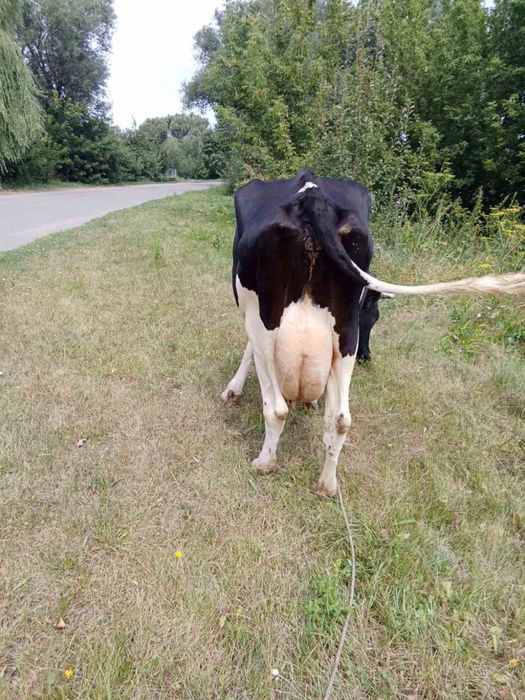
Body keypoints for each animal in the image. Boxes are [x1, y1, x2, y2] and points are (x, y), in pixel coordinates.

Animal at [221, 169, 525, 497]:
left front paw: (233, 390)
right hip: (346, 332)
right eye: (374, 317)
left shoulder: (250, 311)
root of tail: (312, 194)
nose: (367, 357)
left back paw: (264, 463)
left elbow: (248, 352)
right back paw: (328, 484)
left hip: (265, 317)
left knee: (276, 408)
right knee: (341, 419)